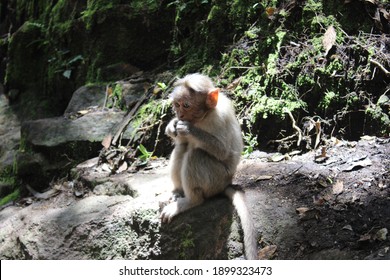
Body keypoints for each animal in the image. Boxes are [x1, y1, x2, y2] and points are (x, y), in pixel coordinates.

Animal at [160, 73, 258, 260]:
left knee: (196, 155)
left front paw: (189, 129)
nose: (179, 114)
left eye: (186, 105)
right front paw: (172, 125)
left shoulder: (219, 118)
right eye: (177, 104)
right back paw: (178, 192)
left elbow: (223, 152)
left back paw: (190, 201)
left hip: (216, 179)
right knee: (182, 148)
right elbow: (181, 140)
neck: (204, 116)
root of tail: (226, 184)